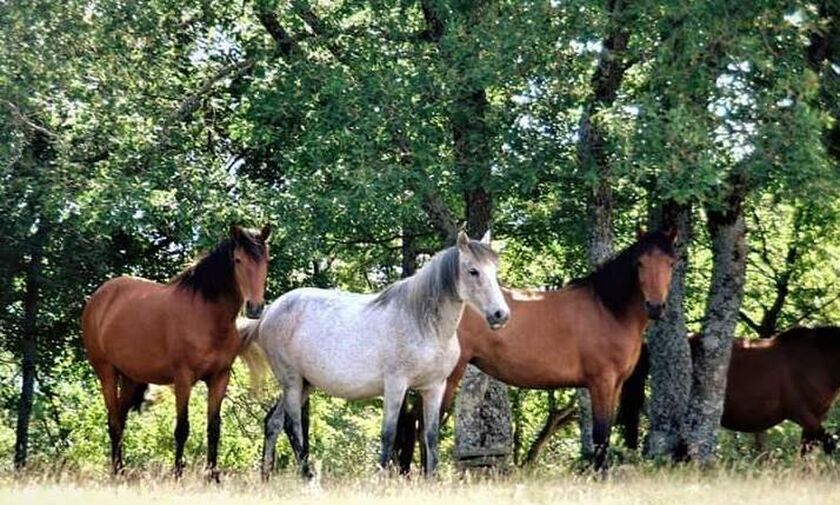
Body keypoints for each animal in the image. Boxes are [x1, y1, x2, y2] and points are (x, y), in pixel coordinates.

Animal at [82, 223, 270, 476]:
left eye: (266, 260)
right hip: (106, 373)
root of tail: (98, 298)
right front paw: (178, 473)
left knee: (119, 419)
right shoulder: (183, 379)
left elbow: (214, 428)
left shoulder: (220, 378)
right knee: (113, 422)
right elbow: (182, 428)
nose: (255, 307)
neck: (207, 317)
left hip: (131, 378)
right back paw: (117, 470)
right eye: (238, 260)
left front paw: (212, 476)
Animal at [240, 230, 508, 474]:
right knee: (292, 426)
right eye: (473, 271)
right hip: (292, 382)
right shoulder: (396, 385)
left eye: (494, 270)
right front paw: (381, 477)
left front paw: (431, 479)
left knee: (273, 423)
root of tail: (268, 313)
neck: (424, 325)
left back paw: (266, 477)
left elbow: (431, 437)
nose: (500, 314)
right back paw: (306, 477)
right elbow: (388, 434)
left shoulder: (434, 387)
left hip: (305, 384)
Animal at [398, 226, 680, 470]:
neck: (608, 310)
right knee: (426, 428)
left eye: (671, 263)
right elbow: (600, 437)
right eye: (640, 263)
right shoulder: (601, 382)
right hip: (446, 378)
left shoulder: (616, 384)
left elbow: (605, 435)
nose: (655, 306)